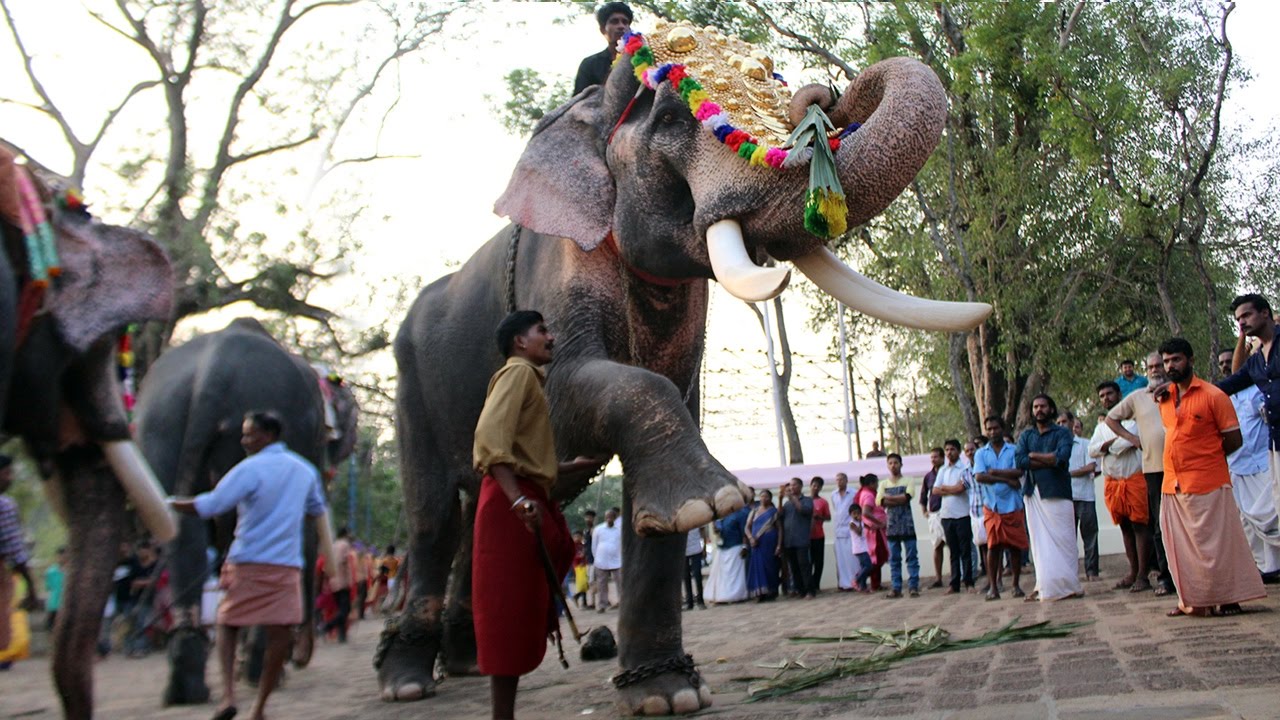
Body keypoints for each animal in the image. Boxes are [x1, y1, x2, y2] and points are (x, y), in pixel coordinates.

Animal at [379, 22, 990, 715]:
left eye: (773, 80)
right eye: (671, 116)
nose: (823, 96)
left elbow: (671, 433)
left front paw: (668, 696)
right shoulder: (558, 264)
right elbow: (562, 397)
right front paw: (714, 501)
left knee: (491, 510)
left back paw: (466, 664)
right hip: (410, 384)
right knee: (433, 519)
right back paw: (407, 681)